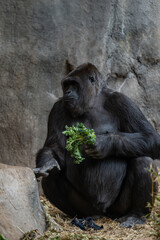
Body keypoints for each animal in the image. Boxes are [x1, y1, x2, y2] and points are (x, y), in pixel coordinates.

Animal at [35, 62, 160, 228]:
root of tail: (105, 213)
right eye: (66, 85)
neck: (92, 102)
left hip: (118, 208)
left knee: (143, 161)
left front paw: (103, 144)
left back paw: (137, 215)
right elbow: (55, 149)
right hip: (88, 207)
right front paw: (47, 162)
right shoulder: (58, 108)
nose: (67, 92)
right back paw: (84, 216)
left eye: (74, 84)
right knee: (52, 177)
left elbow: (151, 137)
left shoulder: (121, 100)